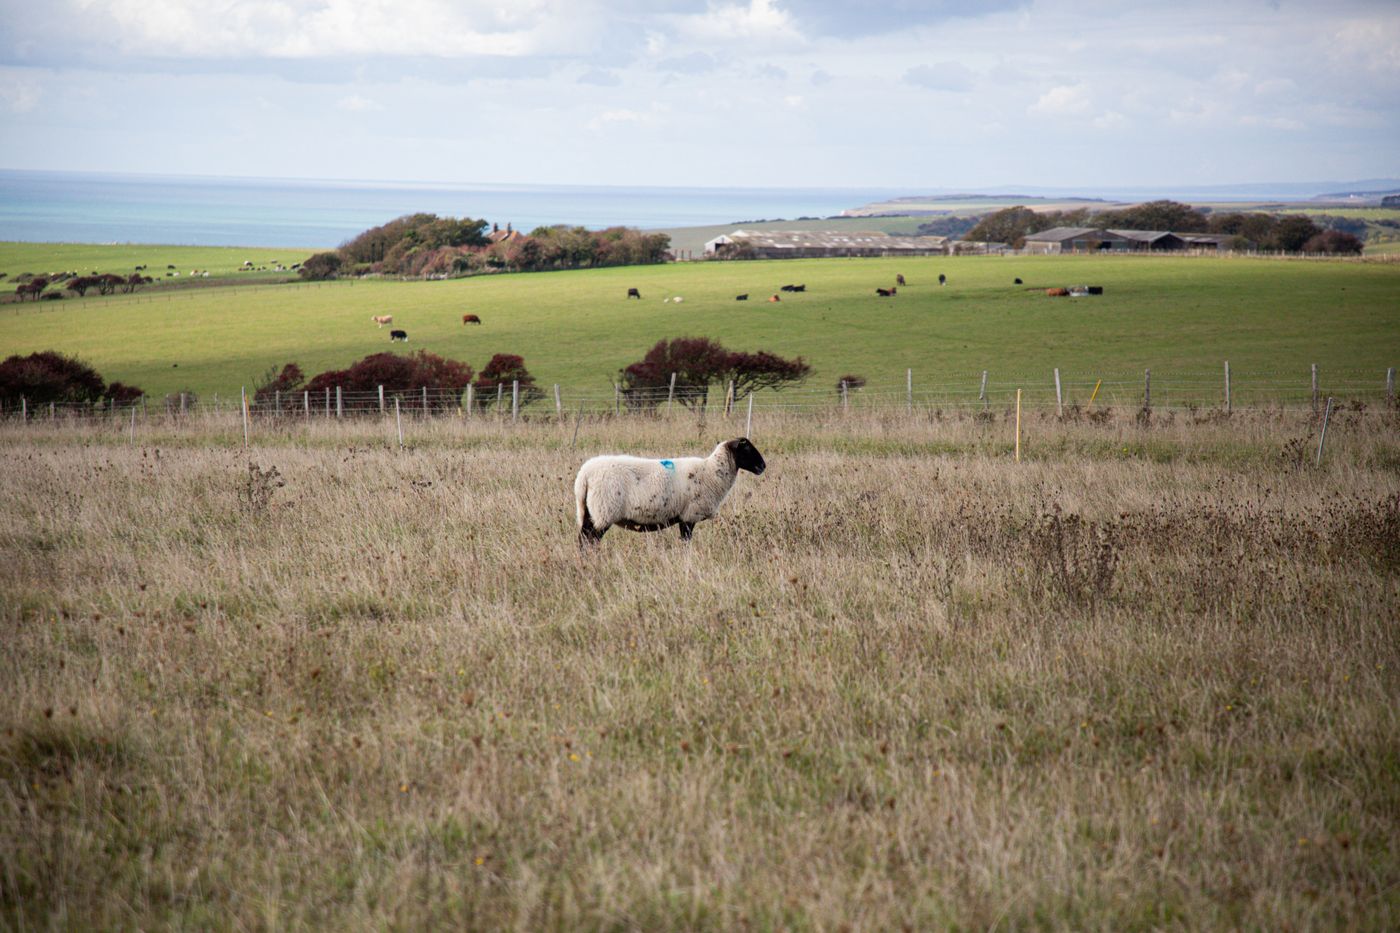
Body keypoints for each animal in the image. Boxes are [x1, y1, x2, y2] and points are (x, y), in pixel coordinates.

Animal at [575, 437, 765, 545]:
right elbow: (686, 543)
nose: (763, 466)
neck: (711, 472)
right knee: (590, 540)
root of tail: (584, 475)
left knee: (583, 539)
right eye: (747, 448)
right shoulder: (689, 516)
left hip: (589, 512)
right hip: (603, 512)